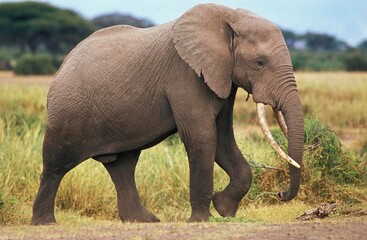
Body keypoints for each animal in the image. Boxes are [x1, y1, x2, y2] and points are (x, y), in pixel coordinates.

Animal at [31, 3, 304, 225]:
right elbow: (203, 136)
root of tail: (63, 63)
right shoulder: (185, 75)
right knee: (56, 164)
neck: (229, 16)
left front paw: (225, 210)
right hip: (67, 111)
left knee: (123, 165)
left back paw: (143, 220)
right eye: (260, 63)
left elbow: (223, 139)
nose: (280, 194)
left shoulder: (222, 77)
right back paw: (45, 223)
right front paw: (202, 220)